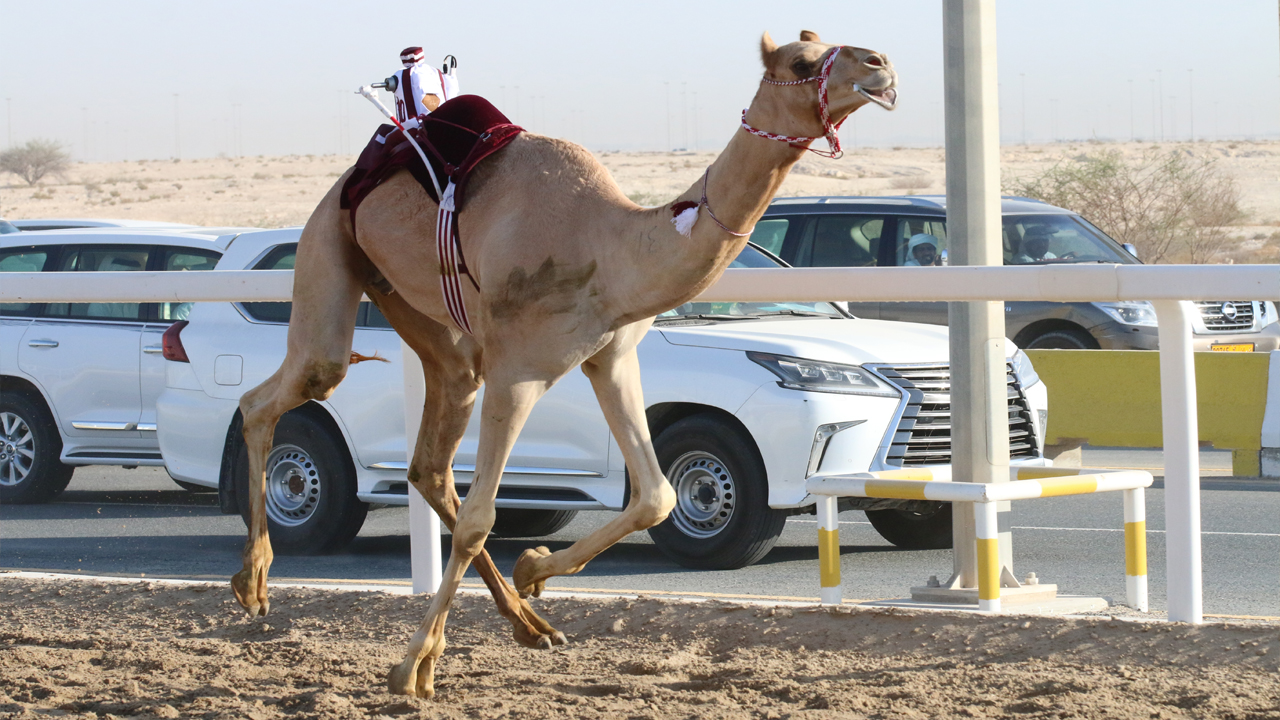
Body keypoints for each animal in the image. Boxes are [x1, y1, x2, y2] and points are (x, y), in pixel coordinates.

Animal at [231, 30, 898, 698]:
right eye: (802, 60)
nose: (882, 66)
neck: (610, 248)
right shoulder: (518, 371)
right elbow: (480, 519)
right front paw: (412, 665)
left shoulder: (611, 358)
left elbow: (656, 495)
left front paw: (533, 568)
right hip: (330, 247)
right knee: (277, 393)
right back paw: (253, 583)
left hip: (424, 317)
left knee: (429, 463)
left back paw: (532, 624)